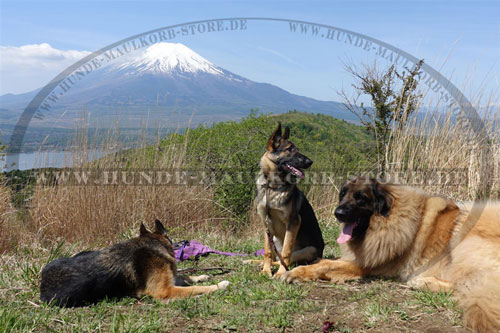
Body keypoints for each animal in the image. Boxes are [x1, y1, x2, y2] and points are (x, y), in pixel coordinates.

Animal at [282, 176, 500, 330]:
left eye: (360, 198)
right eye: (342, 194)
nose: (338, 213)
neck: (386, 218)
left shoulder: (363, 265)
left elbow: (326, 264)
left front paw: (296, 273)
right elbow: (323, 260)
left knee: (467, 285)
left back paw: (422, 282)